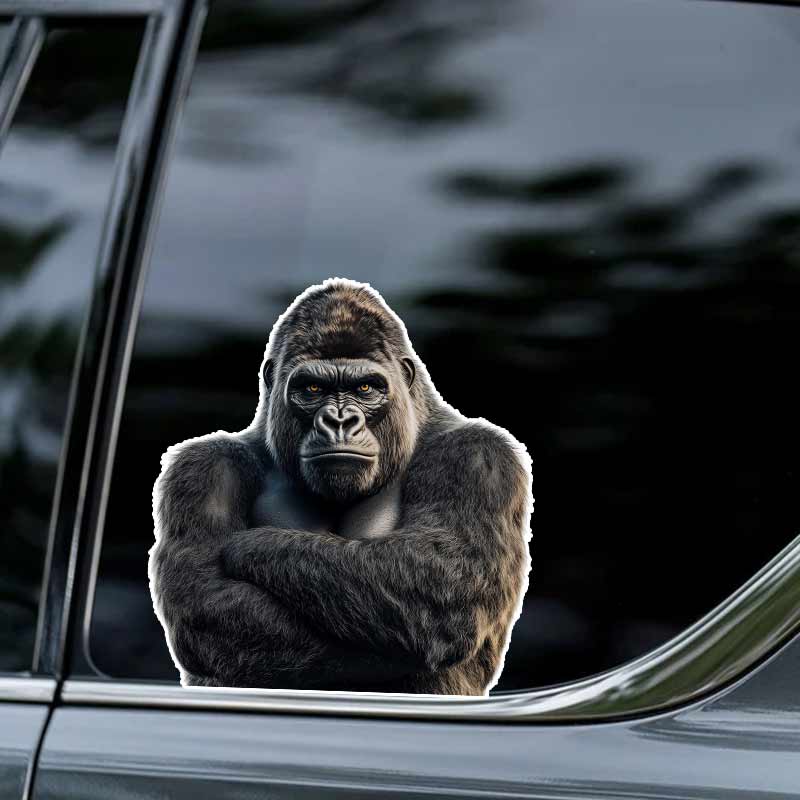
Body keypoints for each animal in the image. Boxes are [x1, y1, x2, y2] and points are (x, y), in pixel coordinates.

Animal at [149, 279, 533, 695]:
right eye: (313, 389)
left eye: (365, 387)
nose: (339, 421)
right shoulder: (203, 468)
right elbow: (213, 606)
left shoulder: (478, 457)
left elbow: (444, 582)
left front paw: (254, 545)